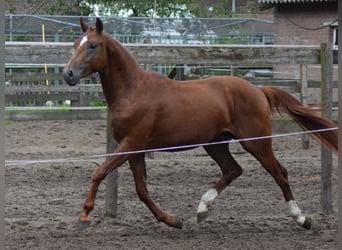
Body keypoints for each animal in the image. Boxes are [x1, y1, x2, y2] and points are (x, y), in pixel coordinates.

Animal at [63, 16, 336, 229]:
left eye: (93, 45)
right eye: (76, 44)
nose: (68, 74)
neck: (134, 91)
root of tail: (258, 90)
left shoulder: (131, 143)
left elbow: (99, 172)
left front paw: (84, 215)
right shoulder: (134, 149)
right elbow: (141, 189)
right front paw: (173, 220)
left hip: (256, 142)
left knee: (280, 173)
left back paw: (302, 219)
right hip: (215, 143)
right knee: (233, 170)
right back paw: (202, 209)